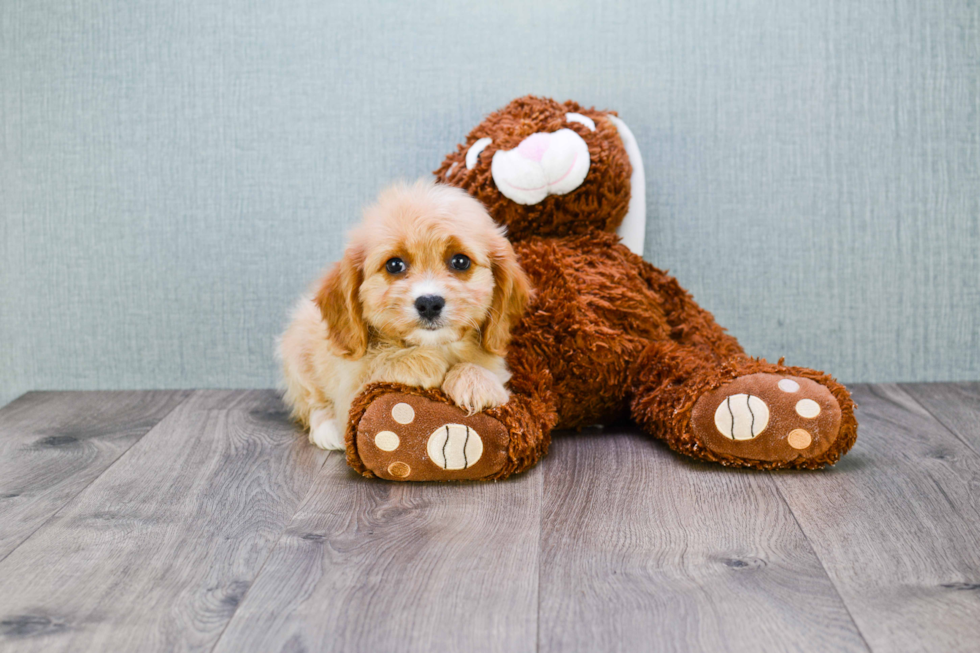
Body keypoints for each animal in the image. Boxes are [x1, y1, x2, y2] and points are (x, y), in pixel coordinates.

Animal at [278, 181, 528, 450]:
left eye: (460, 261)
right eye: (394, 265)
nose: (429, 303)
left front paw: (477, 383)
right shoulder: (350, 387)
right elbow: (377, 363)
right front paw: (425, 362)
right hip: (298, 349)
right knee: (311, 401)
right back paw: (327, 428)